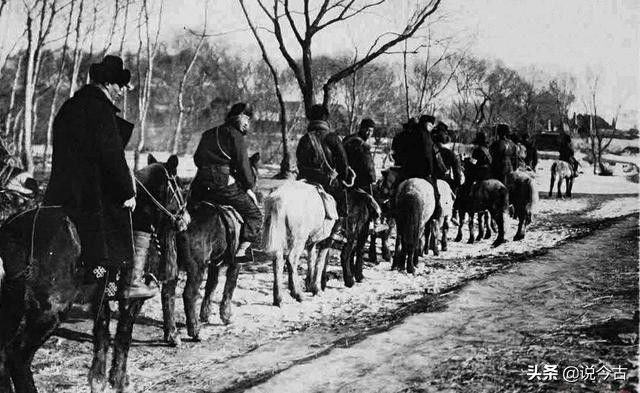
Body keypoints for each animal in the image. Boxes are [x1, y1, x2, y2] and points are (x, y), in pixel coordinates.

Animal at [0, 155, 188, 390]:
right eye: (180, 188)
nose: (185, 220)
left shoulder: (102, 299)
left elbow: (102, 336)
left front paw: (98, 379)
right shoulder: (131, 301)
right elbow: (123, 336)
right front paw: (118, 380)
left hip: (13, 307)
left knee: (3, 354)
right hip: (48, 311)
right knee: (17, 356)